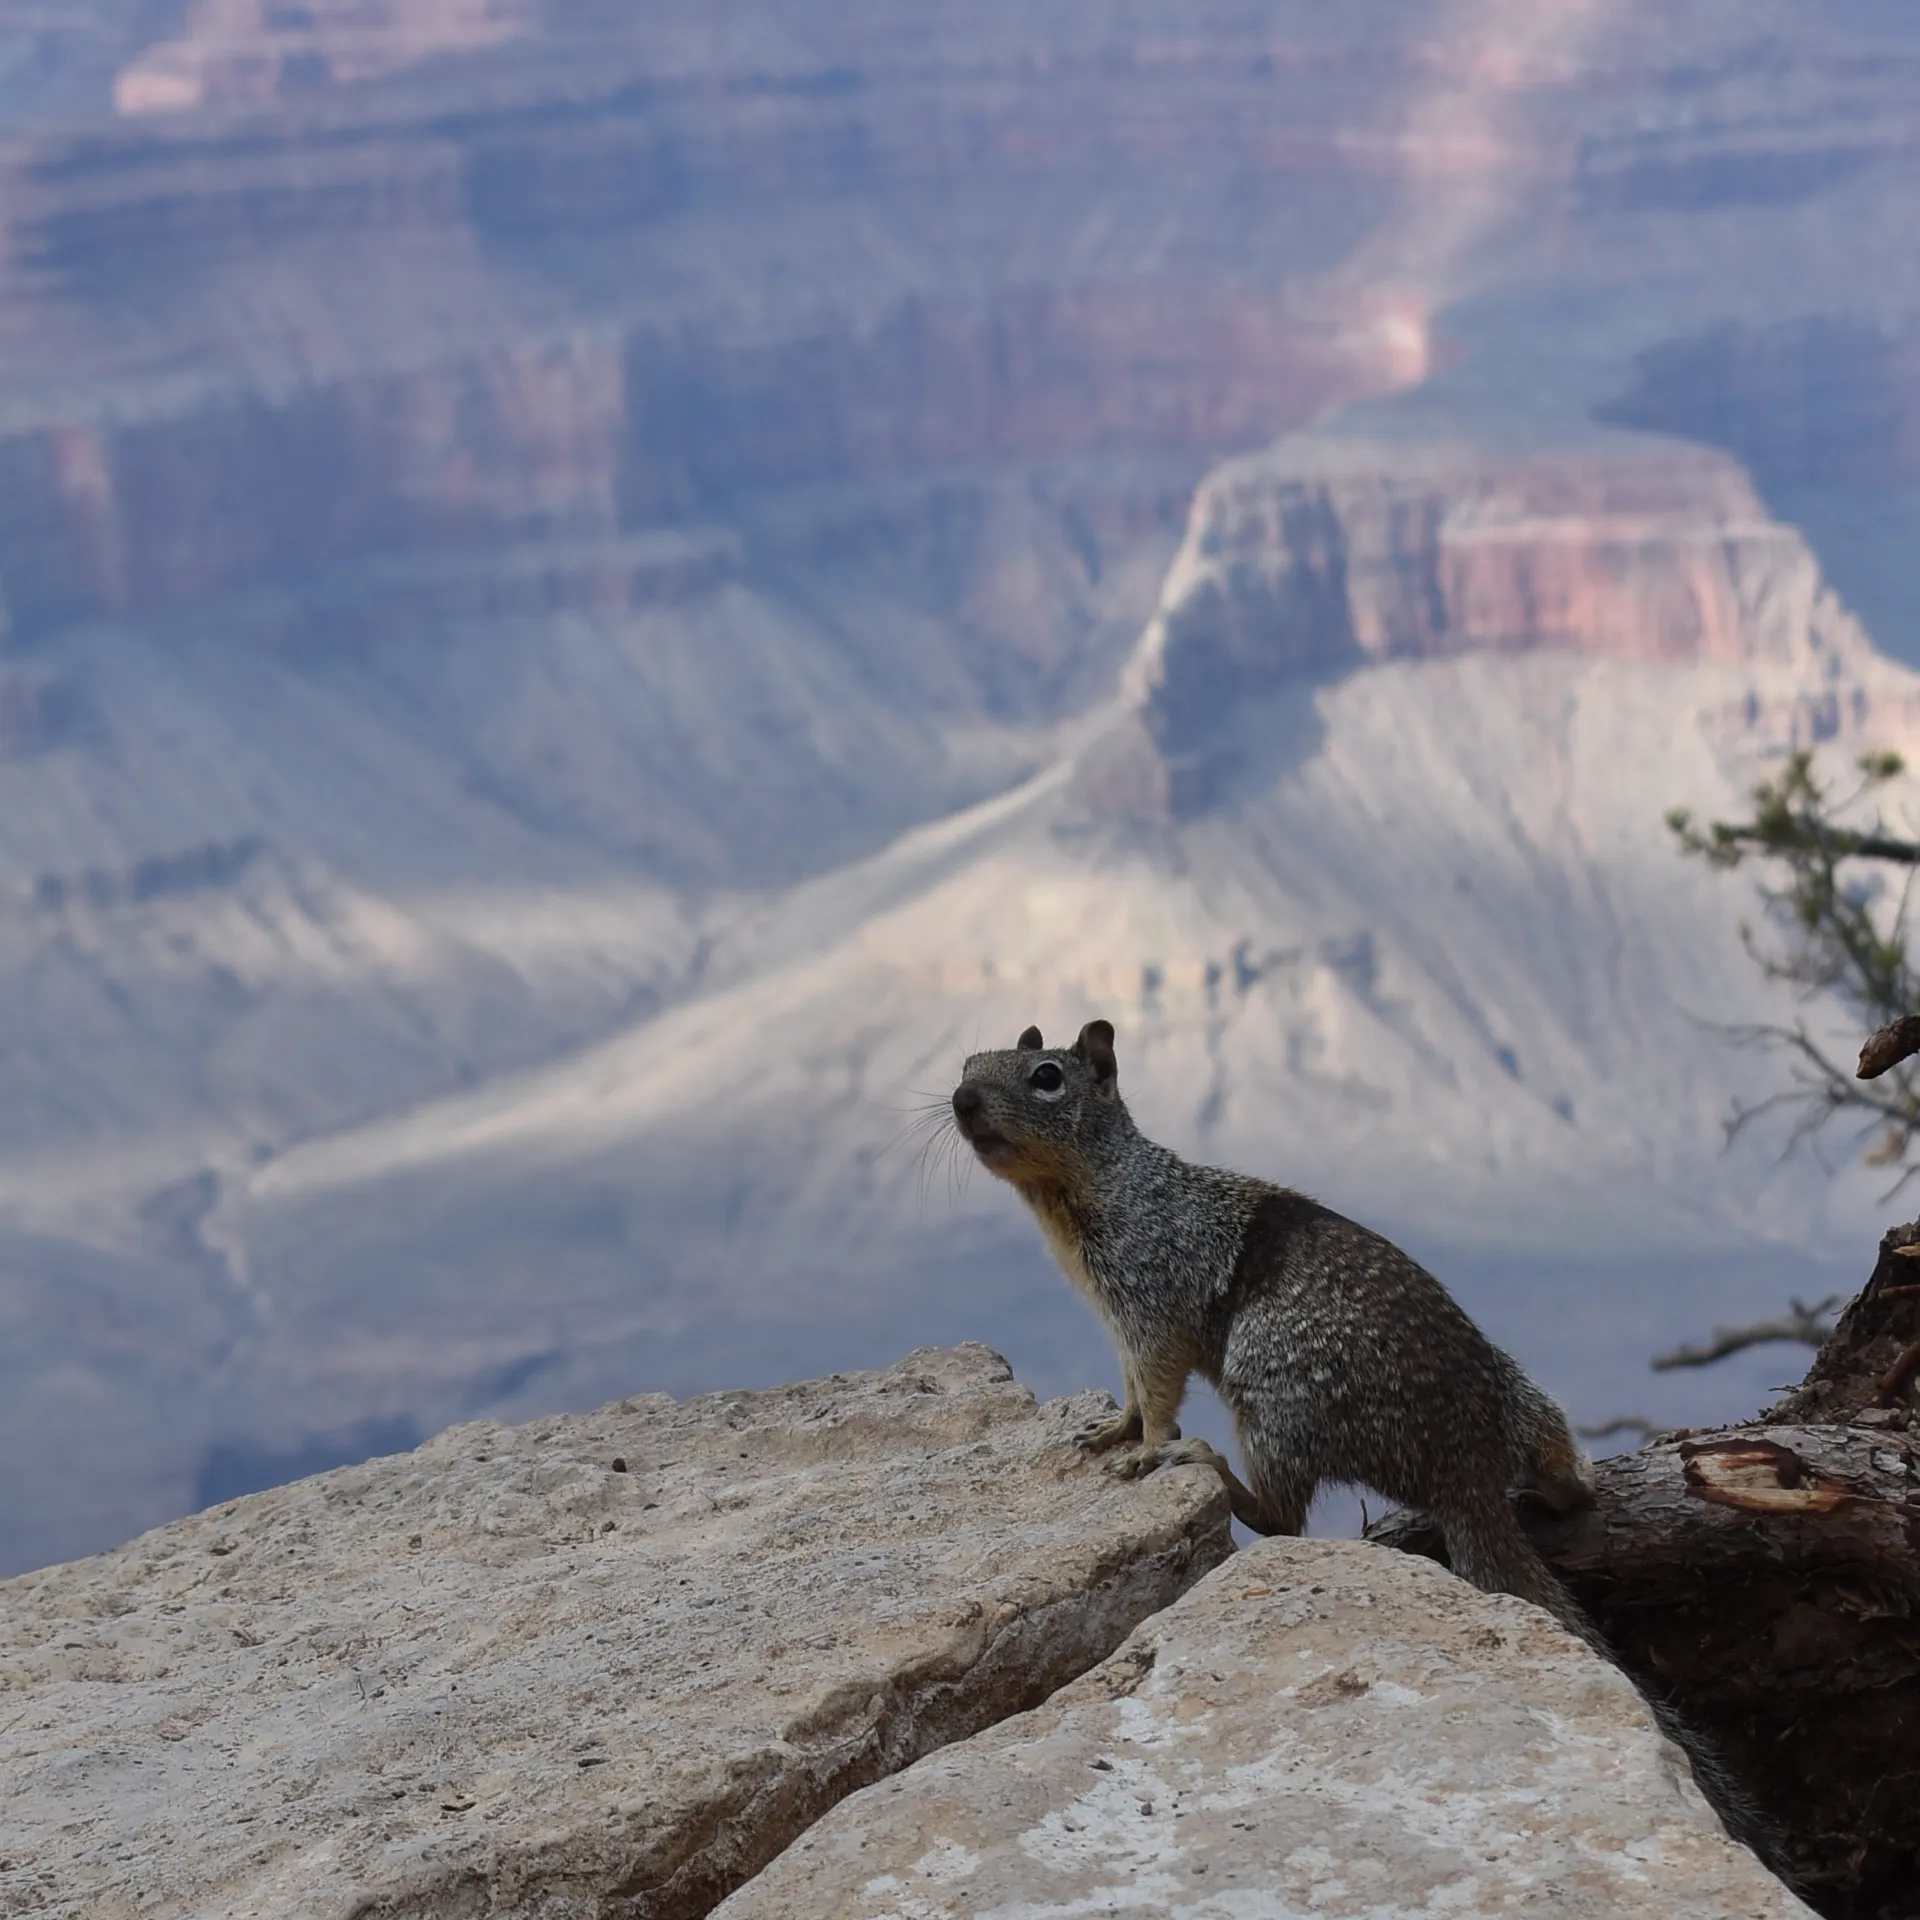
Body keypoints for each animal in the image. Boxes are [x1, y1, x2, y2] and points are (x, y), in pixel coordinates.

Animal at [951, 1018, 1784, 1872]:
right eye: (969, 1062)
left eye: (1046, 1077)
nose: (960, 1099)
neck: (1087, 1186)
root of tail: (1466, 1471)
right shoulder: (1113, 1315)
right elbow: (1126, 1385)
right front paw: (1107, 1428)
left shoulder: (1149, 1294)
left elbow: (1155, 1388)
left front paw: (1146, 1450)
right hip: (1517, 1390)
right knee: (1558, 1469)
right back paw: (1565, 1482)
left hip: (1272, 1387)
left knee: (1280, 1515)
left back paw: (1207, 1460)